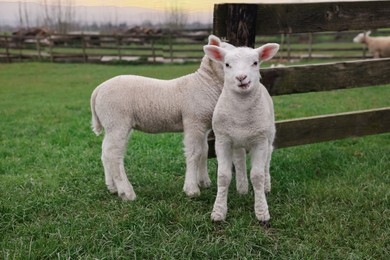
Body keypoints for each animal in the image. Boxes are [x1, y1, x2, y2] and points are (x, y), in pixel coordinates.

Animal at [90, 34, 244, 201]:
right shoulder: (193, 121)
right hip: (117, 121)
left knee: (105, 152)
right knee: (113, 154)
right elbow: (194, 153)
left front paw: (204, 181)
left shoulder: (203, 125)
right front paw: (191, 189)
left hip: (112, 124)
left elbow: (204, 151)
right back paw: (127, 192)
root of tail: (98, 90)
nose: (242, 77)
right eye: (226, 61)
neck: (205, 84)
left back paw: (112, 187)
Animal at [203, 42, 278, 223]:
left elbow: (257, 176)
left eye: (255, 63)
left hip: (269, 135)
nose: (241, 77)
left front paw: (262, 212)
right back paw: (242, 188)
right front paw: (218, 212)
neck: (242, 113)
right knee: (240, 159)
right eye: (227, 64)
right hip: (237, 141)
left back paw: (267, 186)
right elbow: (223, 176)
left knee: (267, 160)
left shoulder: (260, 141)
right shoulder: (222, 140)